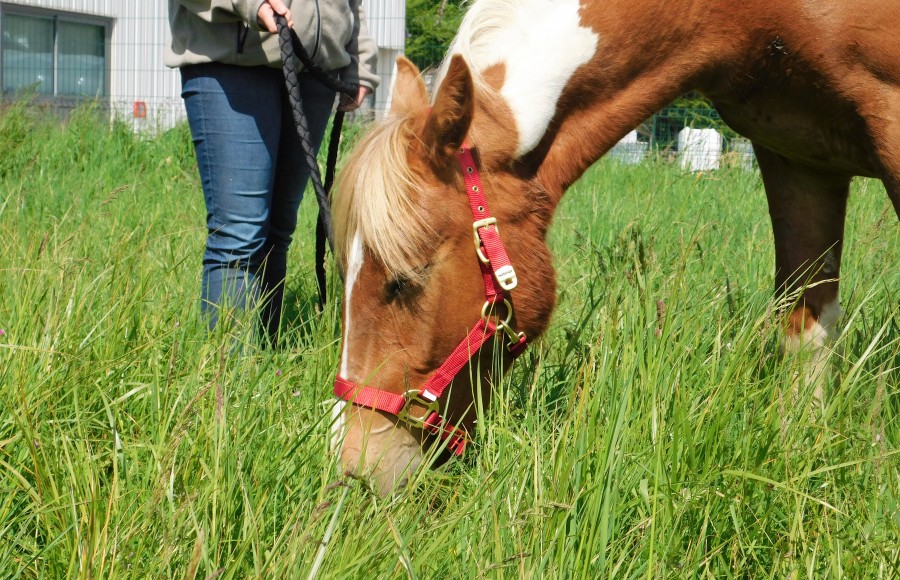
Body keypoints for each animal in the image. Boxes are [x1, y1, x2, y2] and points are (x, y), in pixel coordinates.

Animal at [330, 0, 900, 494]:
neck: (749, 17)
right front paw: (804, 456)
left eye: (403, 282)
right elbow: (805, 327)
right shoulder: (797, 158)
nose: (353, 465)